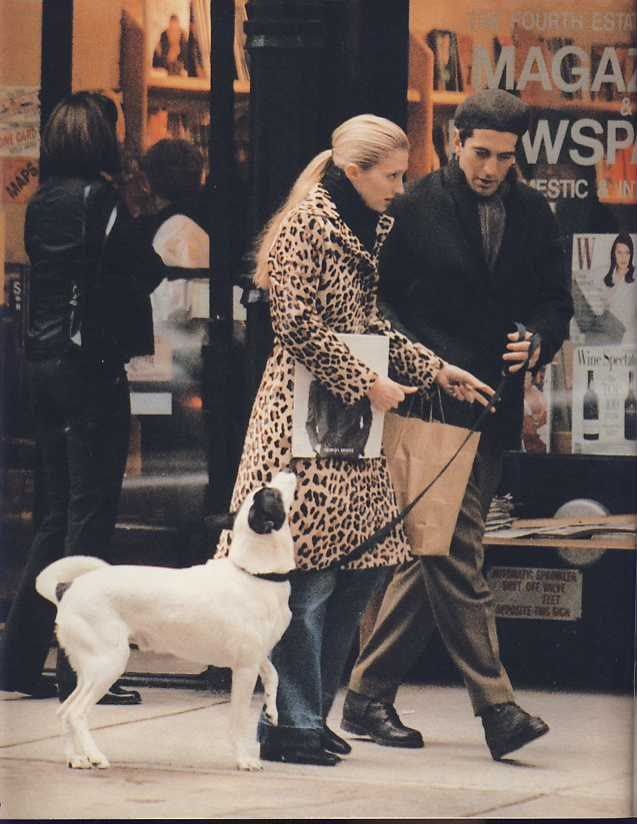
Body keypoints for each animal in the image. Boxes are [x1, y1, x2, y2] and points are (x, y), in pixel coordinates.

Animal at [33, 470, 296, 772]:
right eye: (272, 493)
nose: (289, 470)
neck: (256, 574)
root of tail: (66, 588)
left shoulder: (257, 656)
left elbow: (273, 676)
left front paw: (271, 710)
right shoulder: (245, 668)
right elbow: (238, 721)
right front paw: (244, 758)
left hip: (90, 668)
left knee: (64, 710)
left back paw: (75, 758)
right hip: (109, 663)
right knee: (76, 713)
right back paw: (95, 755)